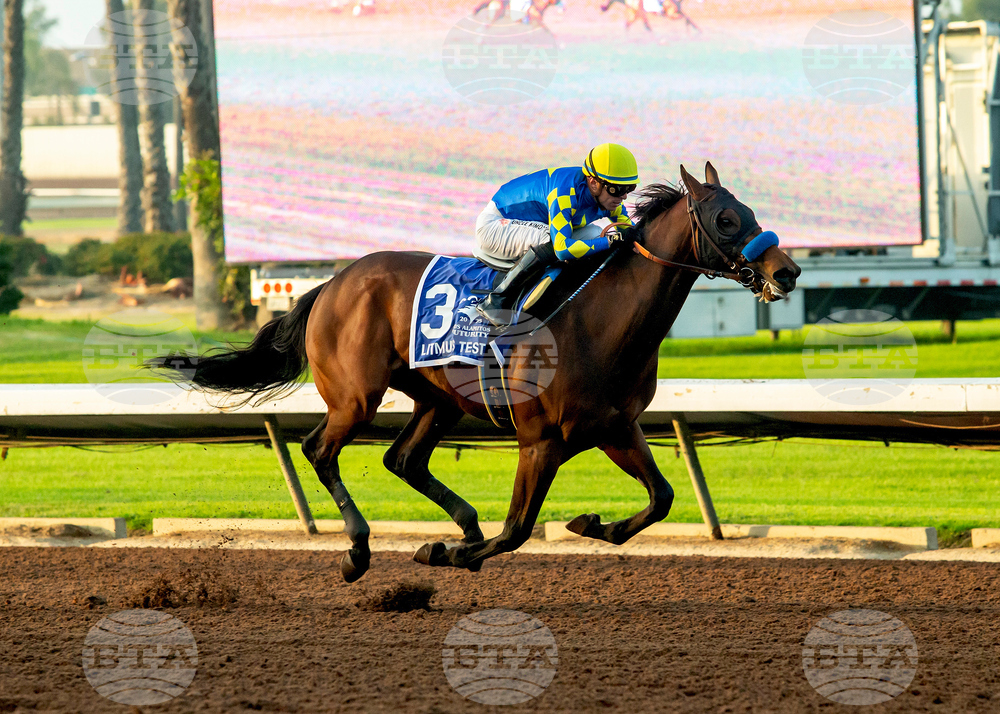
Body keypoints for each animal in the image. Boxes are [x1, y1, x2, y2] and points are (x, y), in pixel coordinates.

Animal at [152, 164, 800, 583]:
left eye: (750, 212)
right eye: (725, 219)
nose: (787, 271)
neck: (600, 320)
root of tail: (333, 282)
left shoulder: (614, 427)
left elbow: (661, 498)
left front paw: (589, 522)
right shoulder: (539, 440)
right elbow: (515, 530)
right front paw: (452, 555)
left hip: (438, 398)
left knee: (403, 459)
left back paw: (460, 527)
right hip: (355, 398)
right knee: (320, 450)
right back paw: (359, 551)